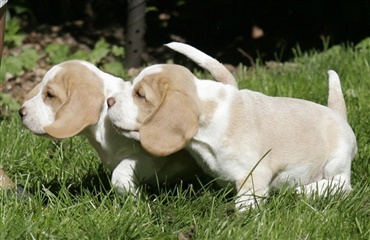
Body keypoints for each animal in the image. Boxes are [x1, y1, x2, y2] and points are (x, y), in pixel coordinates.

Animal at [107, 41, 358, 210]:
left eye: (141, 95)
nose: (108, 101)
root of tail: (337, 113)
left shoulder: (254, 174)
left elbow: (244, 206)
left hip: (337, 161)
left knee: (341, 185)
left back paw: (302, 190)